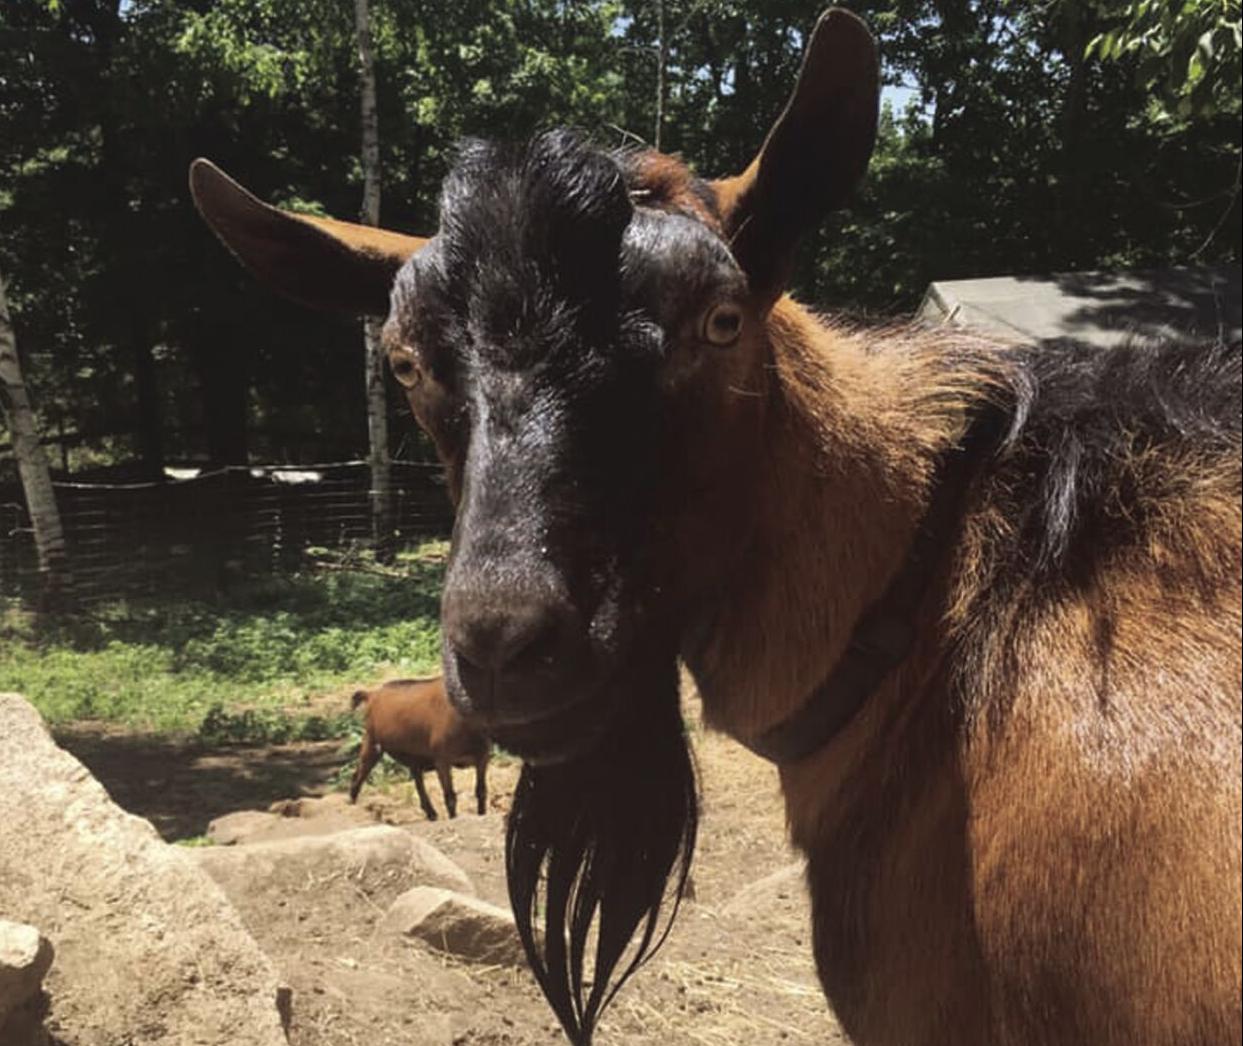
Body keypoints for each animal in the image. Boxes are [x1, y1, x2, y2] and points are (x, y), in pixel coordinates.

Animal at [348, 676, 490, 820]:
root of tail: (372, 694)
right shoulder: (442, 761)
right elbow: (450, 797)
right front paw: (453, 817)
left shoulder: (482, 757)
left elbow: (481, 791)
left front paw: (482, 813)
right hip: (371, 743)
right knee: (358, 775)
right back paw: (352, 804)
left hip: (412, 757)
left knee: (418, 783)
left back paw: (431, 813)